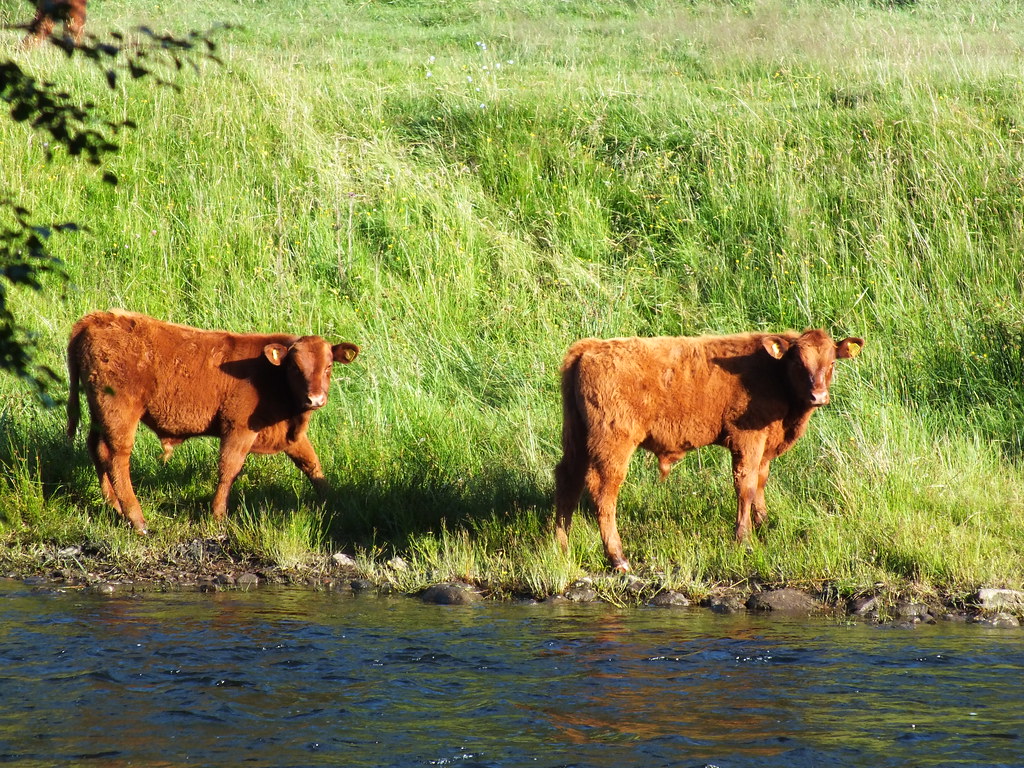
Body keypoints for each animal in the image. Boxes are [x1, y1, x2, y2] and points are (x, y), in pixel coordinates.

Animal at [66, 310, 359, 534]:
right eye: (295, 368)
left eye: (328, 367)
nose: (315, 399)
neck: (271, 377)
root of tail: (97, 318)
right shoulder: (238, 429)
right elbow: (229, 469)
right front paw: (218, 514)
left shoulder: (287, 435)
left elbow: (312, 464)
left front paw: (335, 503)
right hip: (119, 414)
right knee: (117, 457)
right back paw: (136, 519)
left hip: (100, 415)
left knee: (98, 450)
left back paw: (113, 506)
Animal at [553, 329, 863, 572]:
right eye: (798, 362)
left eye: (832, 362)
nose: (818, 396)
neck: (773, 375)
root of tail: (591, 347)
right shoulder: (747, 439)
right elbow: (746, 486)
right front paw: (744, 539)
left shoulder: (764, 447)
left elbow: (760, 483)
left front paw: (763, 524)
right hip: (613, 444)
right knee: (604, 493)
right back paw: (618, 558)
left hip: (577, 438)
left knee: (567, 480)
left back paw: (562, 546)